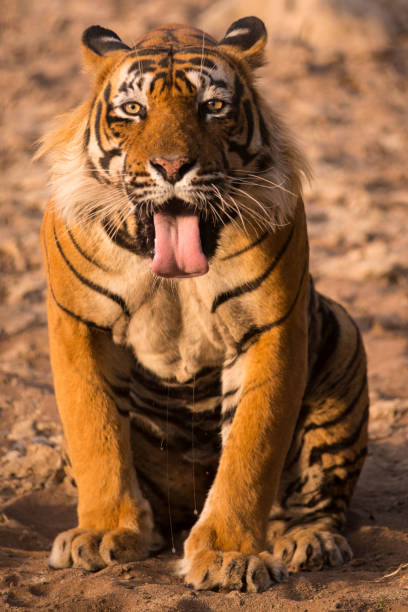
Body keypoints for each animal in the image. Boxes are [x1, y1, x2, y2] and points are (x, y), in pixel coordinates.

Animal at [37, 17, 370, 592]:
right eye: (133, 109)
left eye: (212, 106)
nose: (172, 167)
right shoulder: (80, 324)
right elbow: (96, 433)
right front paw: (103, 534)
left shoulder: (271, 329)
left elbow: (249, 452)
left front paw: (228, 555)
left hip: (345, 340)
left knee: (319, 500)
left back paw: (309, 541)